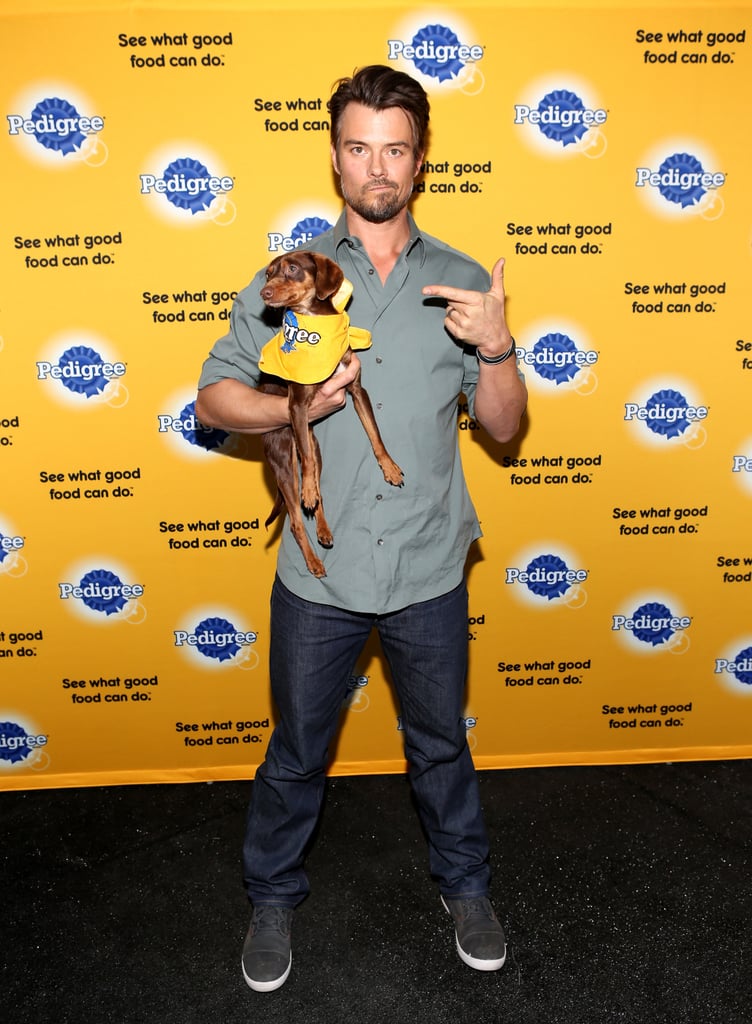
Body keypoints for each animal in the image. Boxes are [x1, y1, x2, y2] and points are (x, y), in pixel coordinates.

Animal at [259, 252, 403, 581]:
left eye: (293, 269)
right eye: (268, 274)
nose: (264, 293)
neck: (313, 324)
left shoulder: (357, 389)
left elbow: (375, 435)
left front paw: (389, 467)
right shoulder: (298, 405)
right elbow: (308, 471)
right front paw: (308, 492)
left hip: (313, 444)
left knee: (317, 485)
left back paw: (323, 529)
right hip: (284, 461)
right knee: (297, 519)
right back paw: (313, 559)